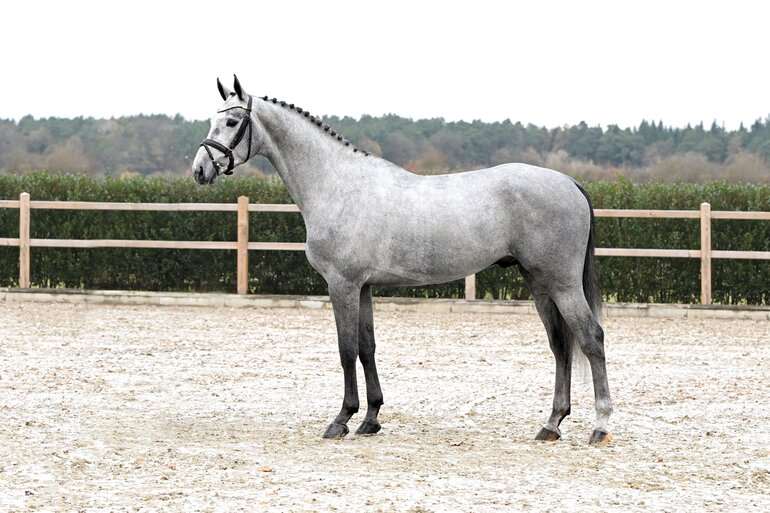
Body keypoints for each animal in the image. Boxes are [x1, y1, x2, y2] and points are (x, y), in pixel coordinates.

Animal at [193, 75, 612, 445]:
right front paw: (371, 419)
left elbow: (346, 350)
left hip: (561, 283)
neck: (337, 185)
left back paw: (600, 426)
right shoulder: (364, 287)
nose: (200, 169)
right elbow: (367, 348)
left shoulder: (342, 284)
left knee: (590, 338)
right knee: (560, 345)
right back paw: (551, 424)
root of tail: (569, 182)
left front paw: (341, 419)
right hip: (539, 283)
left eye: (232, 121)